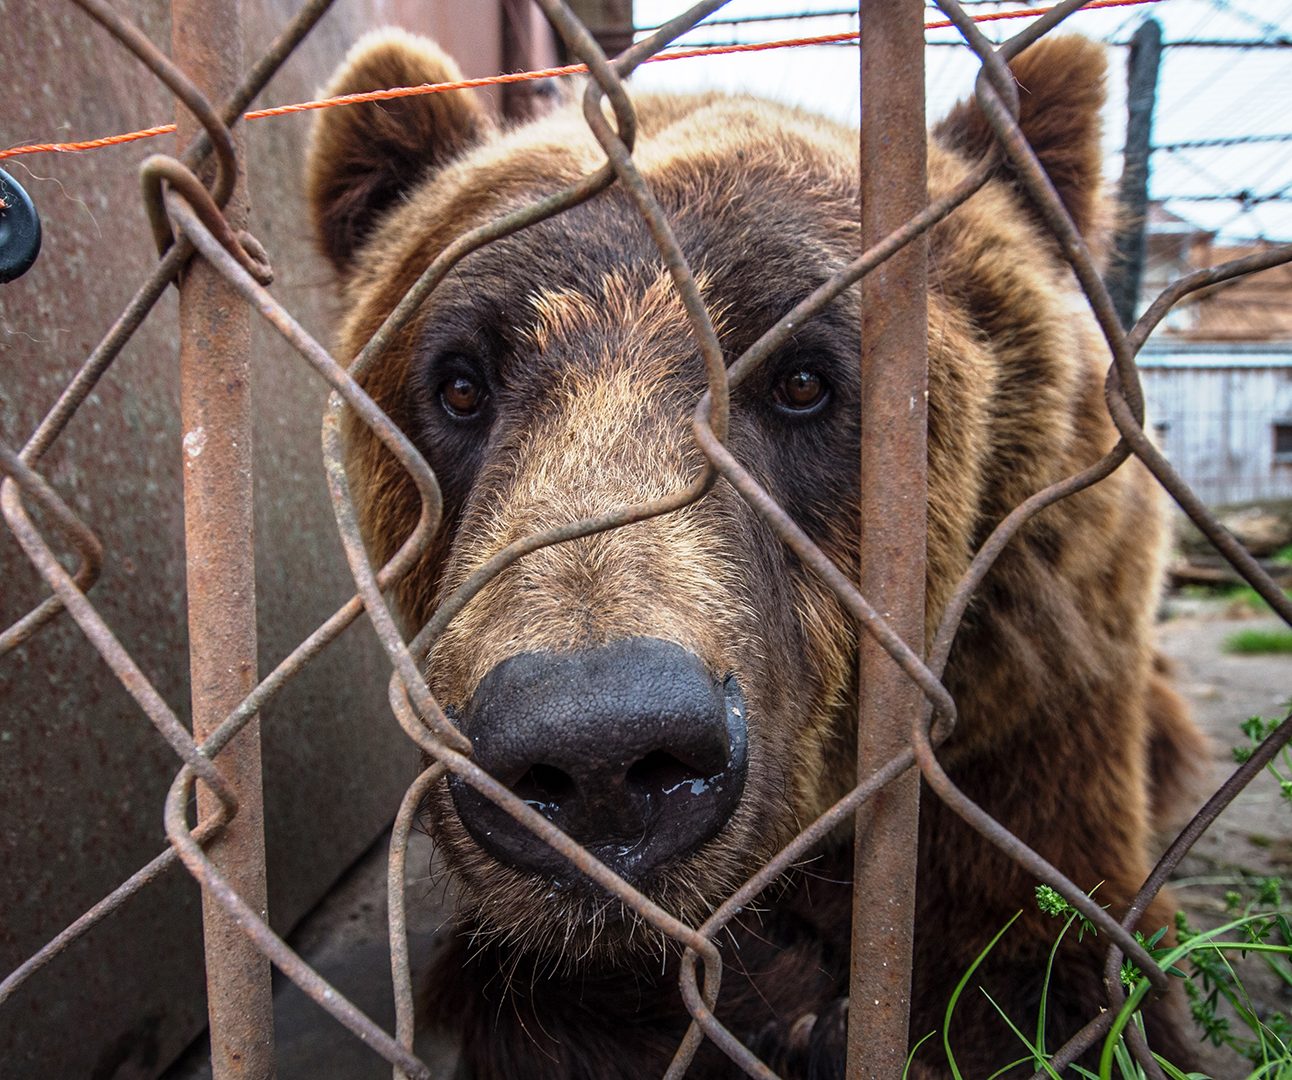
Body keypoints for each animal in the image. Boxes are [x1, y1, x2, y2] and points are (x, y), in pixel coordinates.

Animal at [307, 25, 1204, 1080]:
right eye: (458, 383)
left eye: (804, 380)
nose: (598, 752)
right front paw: (769, 1004)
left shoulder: (1032, 685)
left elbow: (1040, 967)